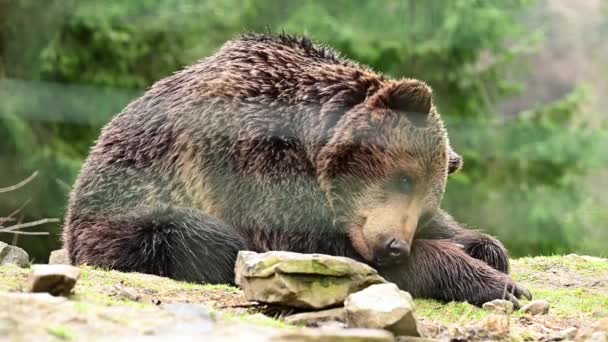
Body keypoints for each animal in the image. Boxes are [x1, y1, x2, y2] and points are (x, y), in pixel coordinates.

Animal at [63, 34, 532, 308]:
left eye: (426, 203)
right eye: (404, 178)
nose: (395, 245)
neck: (309, 136)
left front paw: (484, 247)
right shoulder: (248, 154)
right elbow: (315, 248)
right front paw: (498, 284)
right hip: (127, 215)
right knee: (197, 236)